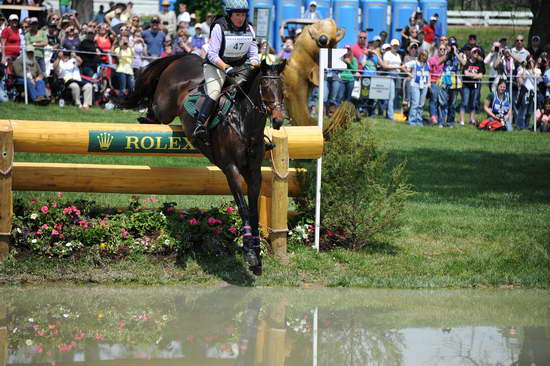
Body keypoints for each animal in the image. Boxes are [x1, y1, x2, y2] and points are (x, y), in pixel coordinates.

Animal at [118, 53, 286, 274]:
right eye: (265, 86)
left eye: (283, 89)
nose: (278, 120)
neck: (243, 123)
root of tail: (186, 57)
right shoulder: (231, 170)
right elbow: (242, 208)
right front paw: (249, 253)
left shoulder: (254, 172)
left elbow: (253, 211)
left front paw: (257, 254)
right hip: (165, 106)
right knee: (154, 107)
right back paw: (144, 117)